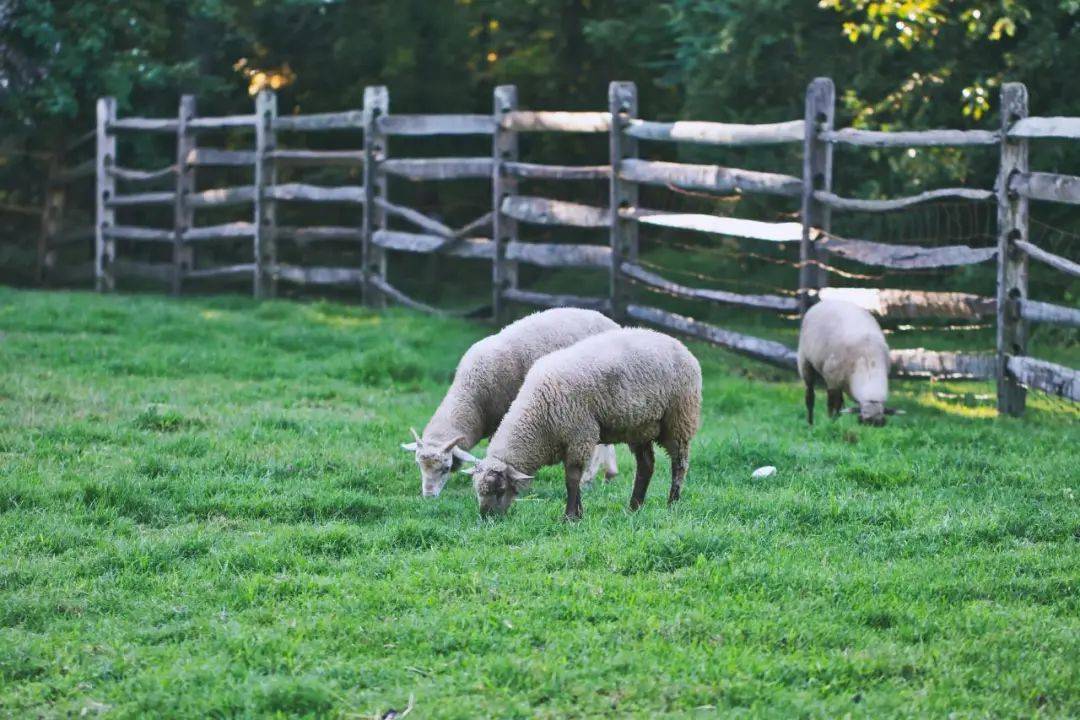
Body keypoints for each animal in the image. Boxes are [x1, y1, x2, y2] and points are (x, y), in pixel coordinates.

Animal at [403, 306, 626, 498]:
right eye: (418, 465)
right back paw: (609, 475)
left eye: (446, 468)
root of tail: (613, 323)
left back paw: (589, 479)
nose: (428, 496)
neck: (473, 398)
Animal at [462, 330, 699, 520]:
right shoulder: (569, 440)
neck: (538, 416)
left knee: (680, 464)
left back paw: (672, 504)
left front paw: (570, 517)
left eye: (500, 490)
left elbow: (572, 479)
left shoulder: (580, 435)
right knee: (646, 465)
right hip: (639, 425)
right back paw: (634, 507)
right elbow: (572, 479)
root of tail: (678, 344)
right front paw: (578, 512)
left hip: (679, 417)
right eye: (477, 491)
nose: (487, 518)